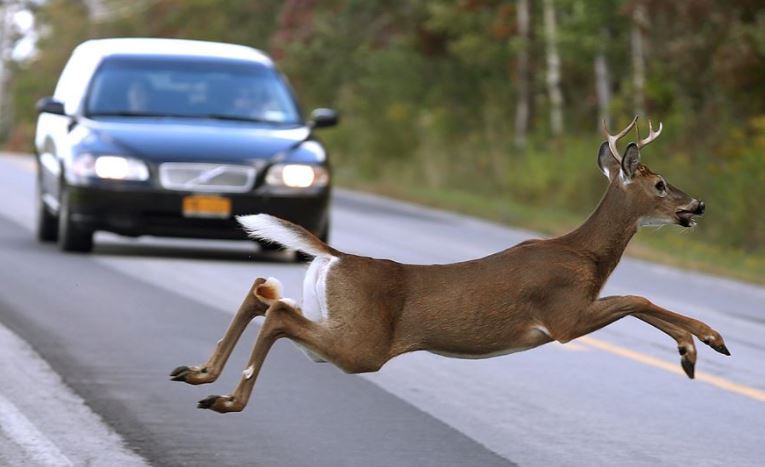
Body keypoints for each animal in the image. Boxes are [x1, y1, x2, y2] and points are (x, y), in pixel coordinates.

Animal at [170, 116, 730, 413]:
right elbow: (638, 297)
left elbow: (639, 300)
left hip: (336, 321)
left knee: (264, 292)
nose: (699, 205)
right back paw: (226, 399)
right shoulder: (564, 316)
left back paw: (198, 375)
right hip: (363, 345)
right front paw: (702, 343)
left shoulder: (573, 313)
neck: (586, 255)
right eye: (659, 184)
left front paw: (696, 348)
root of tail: (338, 256)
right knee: (278, 313)